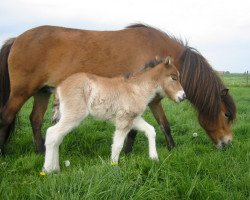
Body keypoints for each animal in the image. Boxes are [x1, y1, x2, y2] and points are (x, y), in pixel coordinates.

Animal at [42, 56, 185, 173]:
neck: (137, 88)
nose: (183, 96)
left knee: (57, 137)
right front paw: (113, 166)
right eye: (174, 77)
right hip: (73, 115)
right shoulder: (124, 120)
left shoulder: (134, 119)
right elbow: (117, 145)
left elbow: (150, 130)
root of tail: (59, 87)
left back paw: (55, 168)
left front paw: (154, 158)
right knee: (52, 133)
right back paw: (48, 170)